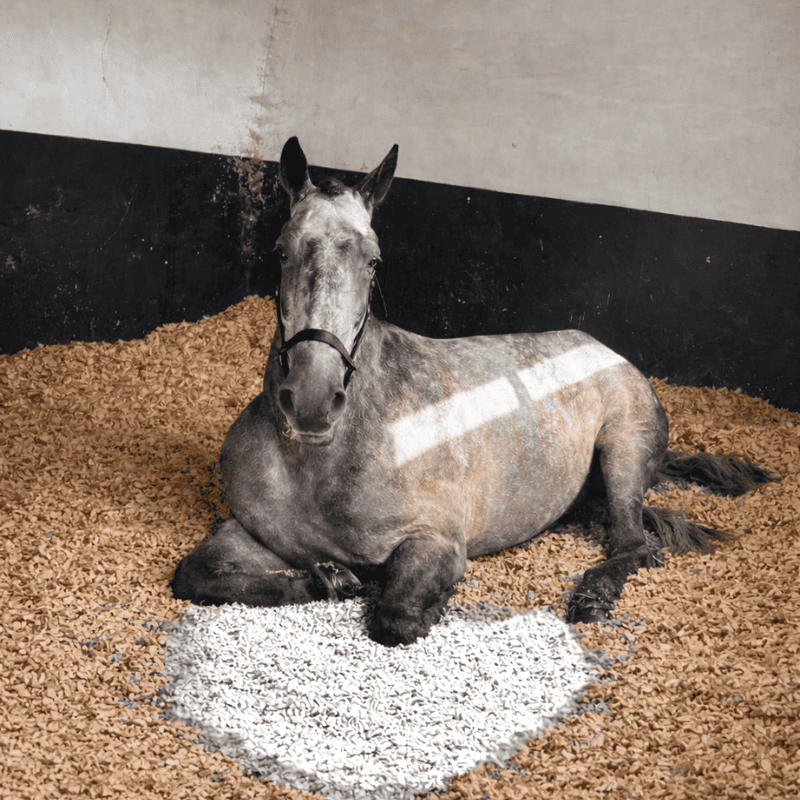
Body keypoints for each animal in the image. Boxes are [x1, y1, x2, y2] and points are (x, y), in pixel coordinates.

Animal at [171, 137, 777, 645]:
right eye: (280, 251)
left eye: (374, 260)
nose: (313, 400)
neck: (321, 460)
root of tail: (604, 350)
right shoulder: (250, 532)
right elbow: (196, 576)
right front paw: (328, 578)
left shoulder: (436, 541)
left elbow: (396, 617)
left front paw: (382, 592)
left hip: (622, 448)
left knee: (632, 544)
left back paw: (592, 598)